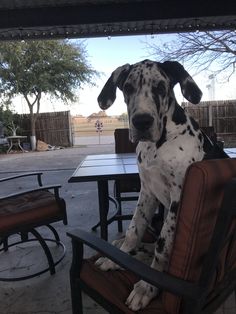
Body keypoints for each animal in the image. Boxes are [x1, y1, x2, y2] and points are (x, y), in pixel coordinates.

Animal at [95, 60, 228, 310]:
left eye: (160, 87)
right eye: (128, 87)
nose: (142, 122)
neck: (158, 146)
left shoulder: (179, 199)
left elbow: (163, 248)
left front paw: (147, 287)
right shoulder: (147, 191)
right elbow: (134, 230)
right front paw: (120, 257)